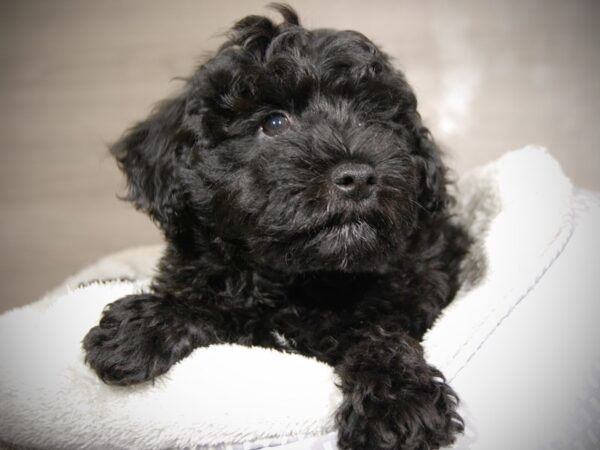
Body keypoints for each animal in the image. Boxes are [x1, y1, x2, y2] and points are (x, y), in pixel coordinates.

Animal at [83, 5, 468, 448]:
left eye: (375, 120)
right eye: (274, 123)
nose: (357, 177)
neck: (303, 279)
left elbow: (380, 334)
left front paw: (398, 403)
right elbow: (217, 307)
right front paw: (143, 328)